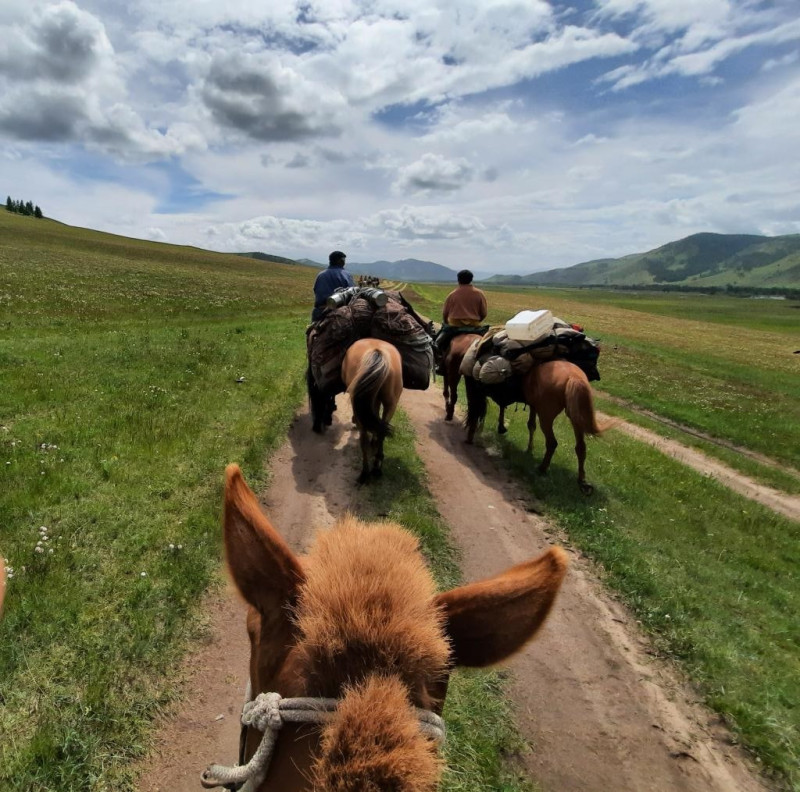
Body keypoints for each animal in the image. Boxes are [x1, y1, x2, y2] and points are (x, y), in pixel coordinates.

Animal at [340, 336, 404, 482]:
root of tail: (378, 352)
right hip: (391, 404)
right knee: (381, 432)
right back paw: (376, 468)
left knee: (364, 438)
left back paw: (365, 472)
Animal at [466, 360, 616, 496]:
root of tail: (573, 376)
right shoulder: (533, 405)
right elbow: (531, 425)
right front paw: (529, 449)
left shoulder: (534, 406)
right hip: (575, 416)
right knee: (581, 447)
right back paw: (582, 481)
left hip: (546, 415)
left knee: (552, 442)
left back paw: (542, 468)